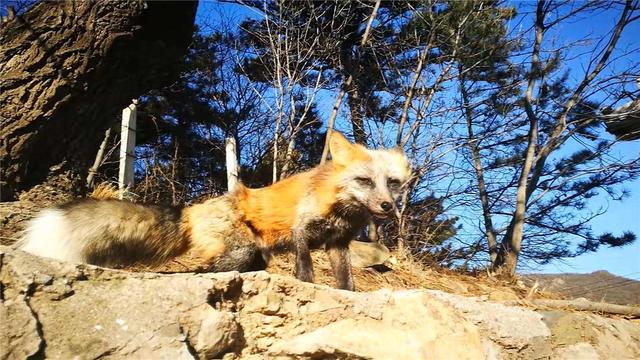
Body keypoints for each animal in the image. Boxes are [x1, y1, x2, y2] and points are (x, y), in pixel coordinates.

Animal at [20, 131, 412, 292]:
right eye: (364, 180)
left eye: (392, 183)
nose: (387, 207)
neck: (341, 209)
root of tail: (192, 209)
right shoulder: (302, 232)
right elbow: (305, 270)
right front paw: (308, 286)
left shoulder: (338, 244)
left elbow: (346, 282)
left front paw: (349, 296)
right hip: (241, 252)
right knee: (200, 273)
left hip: (254, 258)